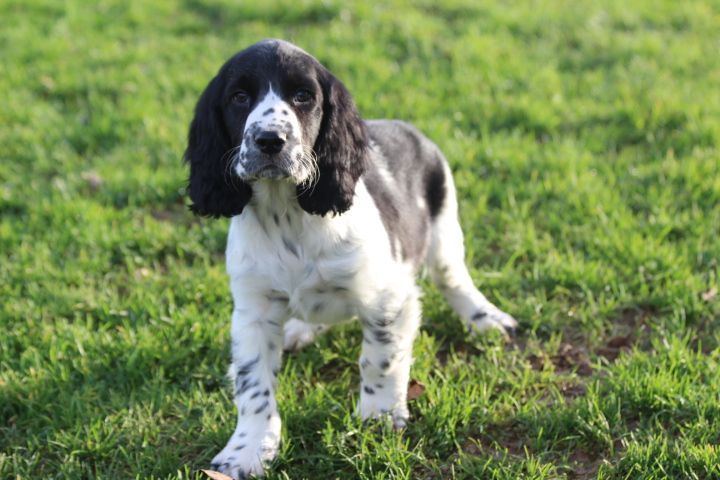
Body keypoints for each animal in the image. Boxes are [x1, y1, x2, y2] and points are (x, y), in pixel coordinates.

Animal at [183, 39, 516, 478]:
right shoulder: (253, 309)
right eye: (239, 97)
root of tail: (405, 127)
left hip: (444, 224)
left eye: (303, 96)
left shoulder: (389, 299)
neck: (288, 212)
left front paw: (378, 417)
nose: (270, 140)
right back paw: (298, 331)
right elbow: (252, 383)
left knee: (454, 279)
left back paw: (486, 318)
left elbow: (380, 359)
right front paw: (247, 451)